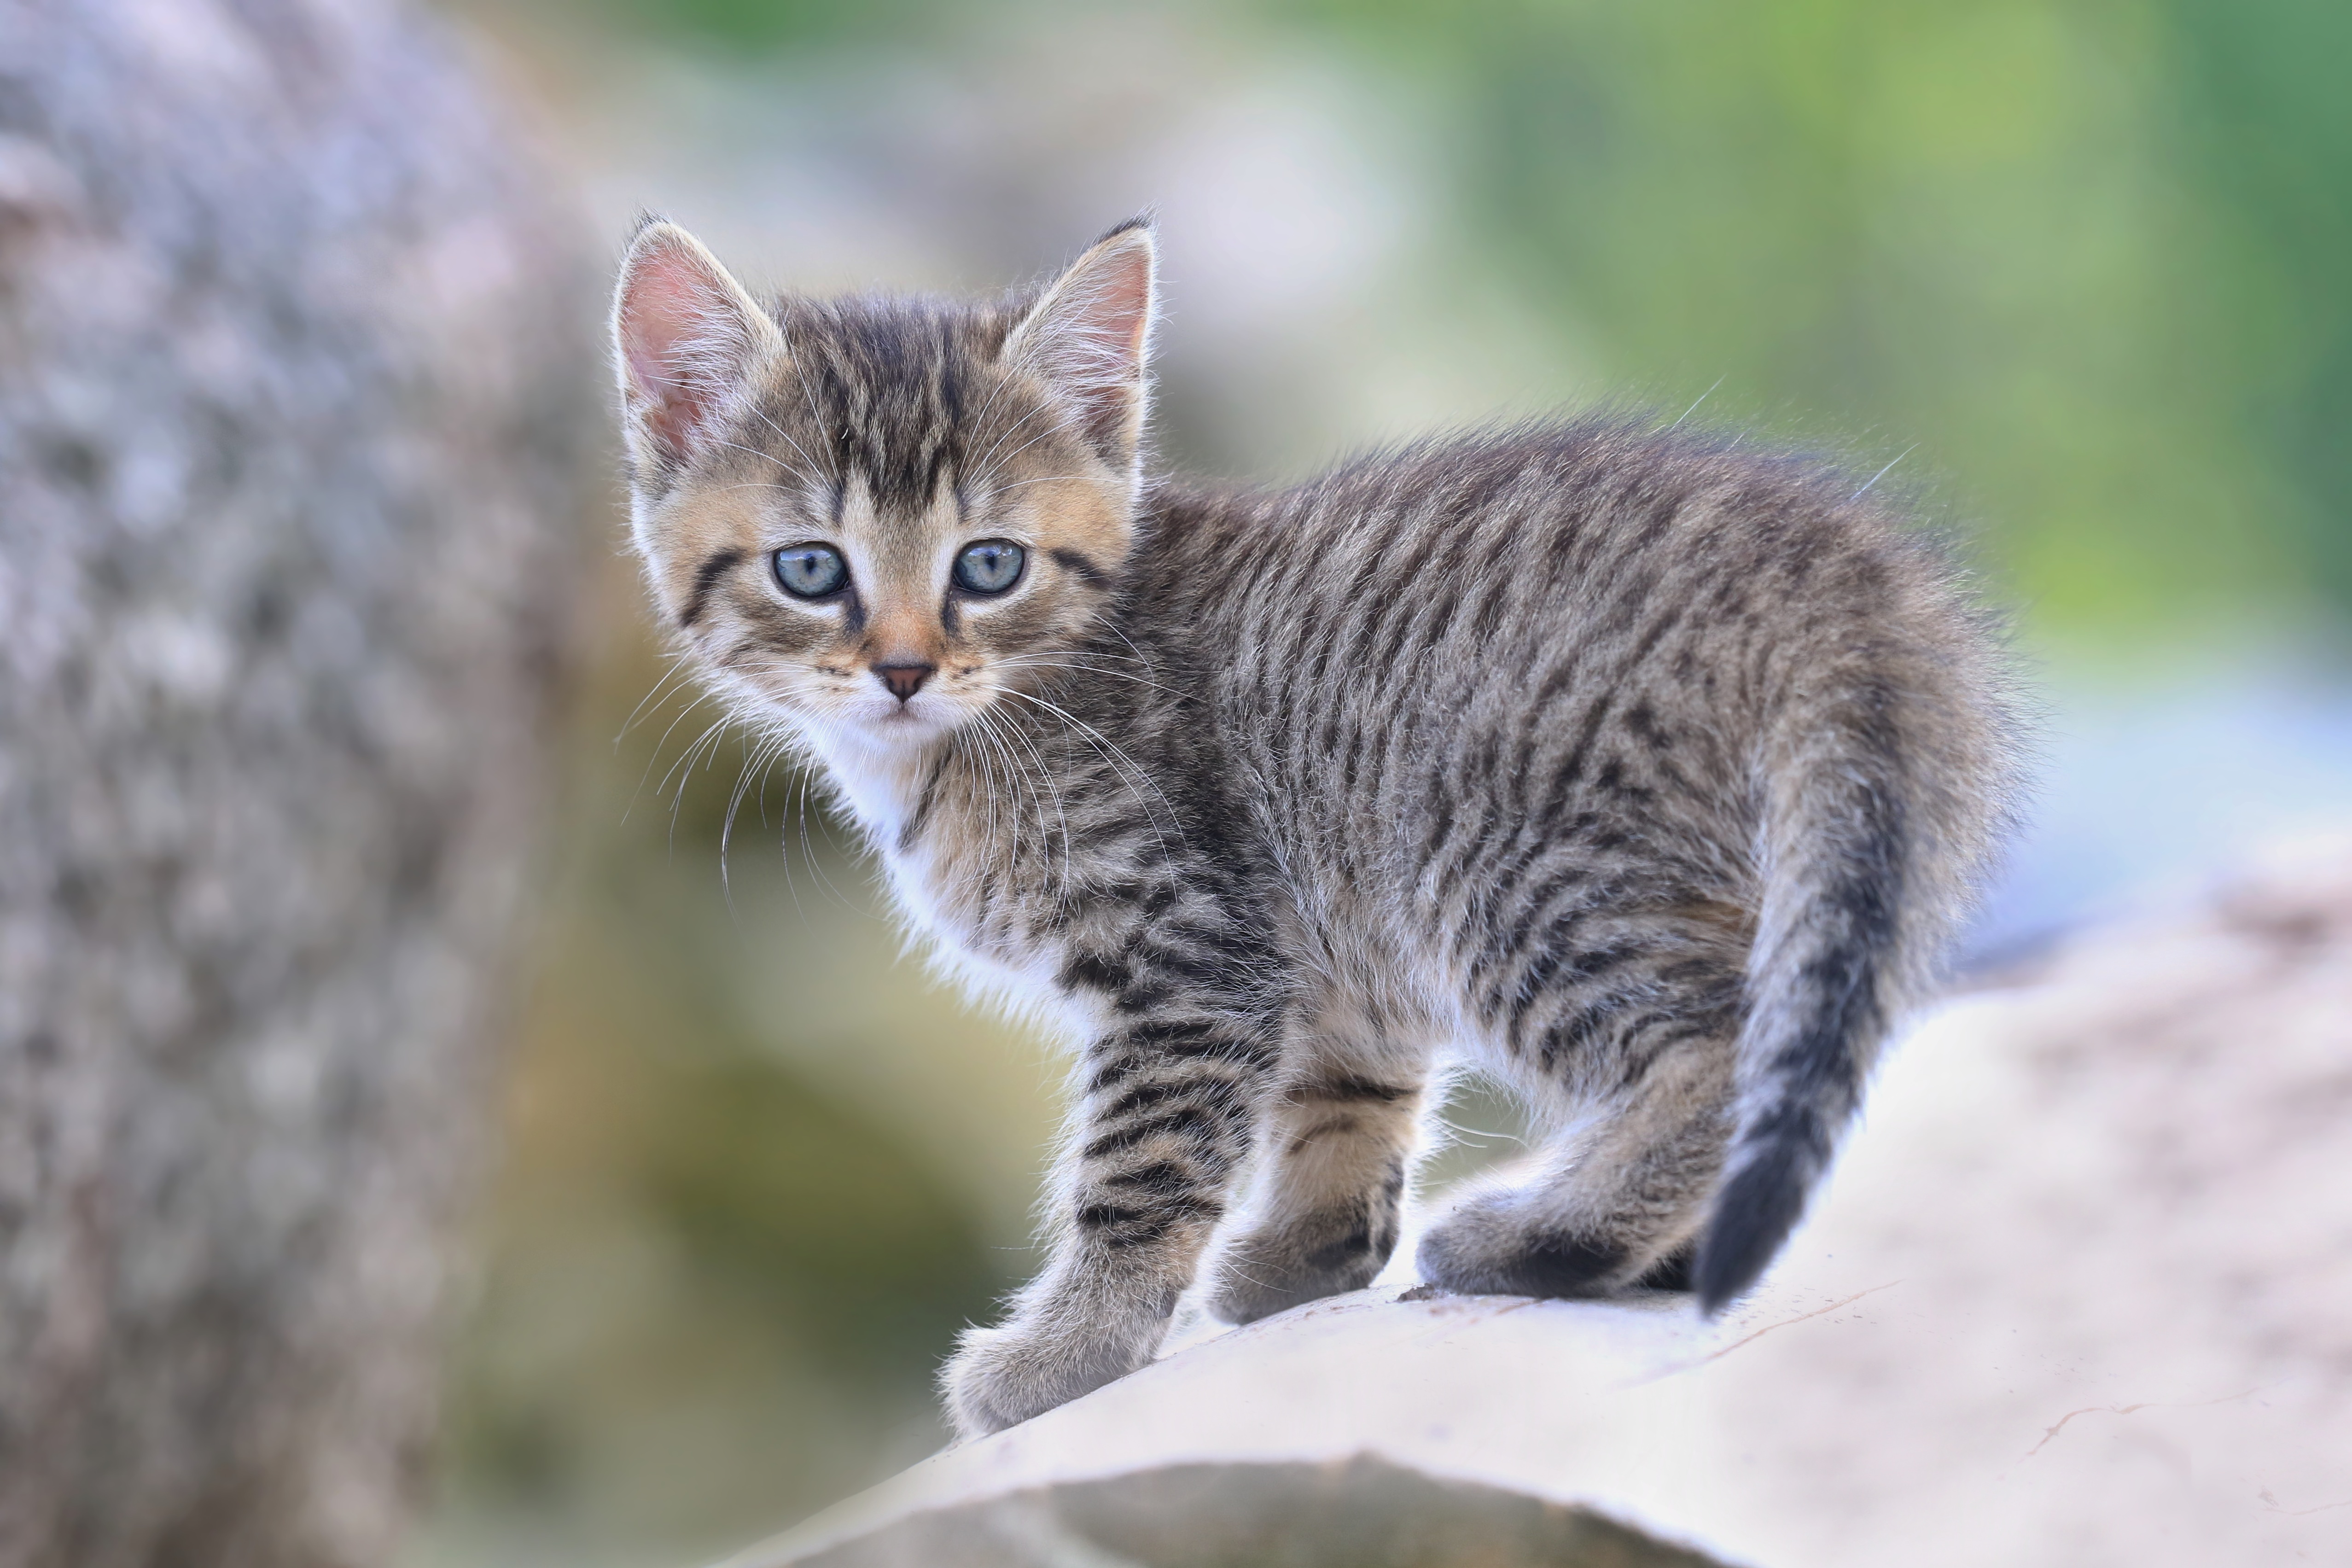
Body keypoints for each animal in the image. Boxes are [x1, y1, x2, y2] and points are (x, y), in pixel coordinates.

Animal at [606, 215, 2022, 1439]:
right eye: (810, 569)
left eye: (988, 565)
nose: (902, 668)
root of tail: (1853, 577)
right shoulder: (1325, 949)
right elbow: (1349, 1101)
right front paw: (1309, 1253)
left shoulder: (1188, 951)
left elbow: (1141, 1169)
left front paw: (1070, 1351)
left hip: (1501, 861)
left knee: (1722, 1047)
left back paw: (1544, 1235)